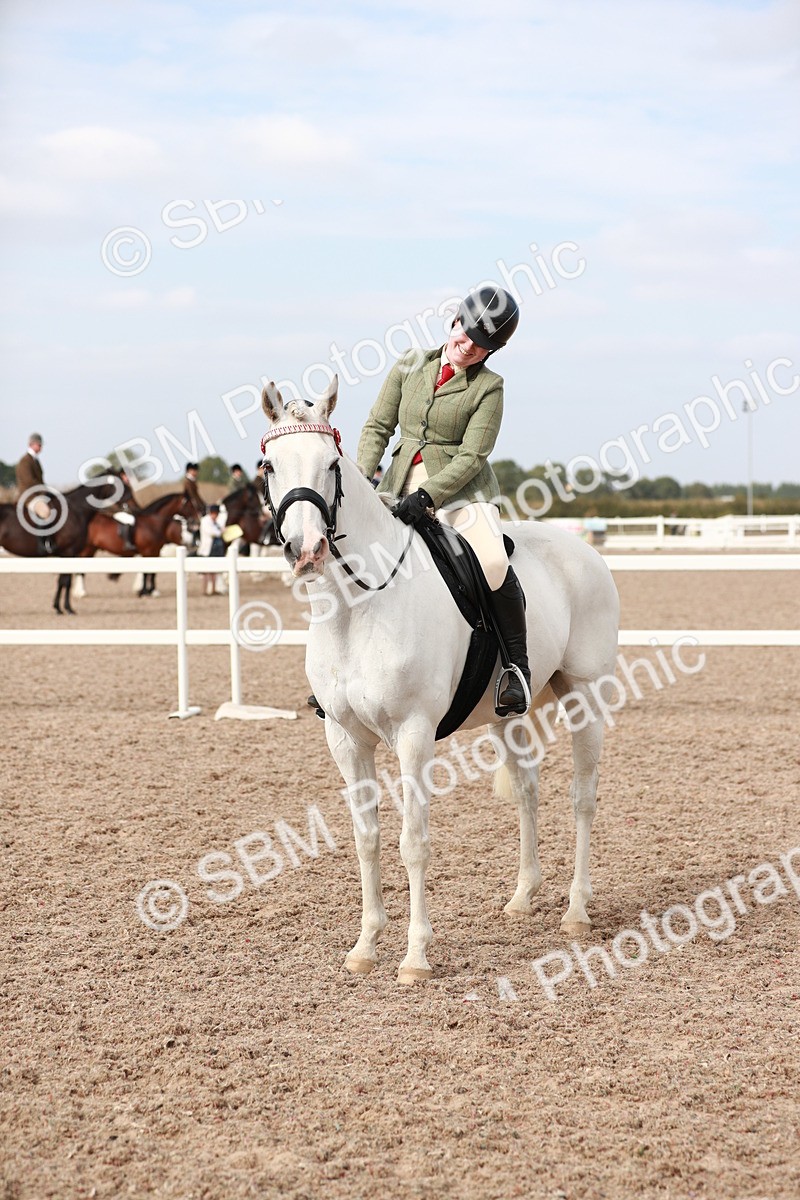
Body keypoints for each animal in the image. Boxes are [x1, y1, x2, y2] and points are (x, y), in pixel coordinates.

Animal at [0, 472, 131, 614]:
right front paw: (67, 608)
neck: (76, 511)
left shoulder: (66, 554)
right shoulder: (69, 552)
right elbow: (66, 581)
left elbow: (62, 580)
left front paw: (58, 607)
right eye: (122, 485)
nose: (132, 506)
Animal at [259, 376, 620, 984]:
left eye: (331, 464)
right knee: (528, 790)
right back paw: (523, 898)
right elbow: (367, 839)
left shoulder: (413, 735)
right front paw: (365, 946)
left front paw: (415, 957)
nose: (306, 551)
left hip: (584, 698)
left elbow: (414, 843)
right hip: (506, 715)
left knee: (583, 797)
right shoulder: (345, 739)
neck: (359, 606)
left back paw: (576, 911)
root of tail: (585, 551)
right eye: (268, 465)